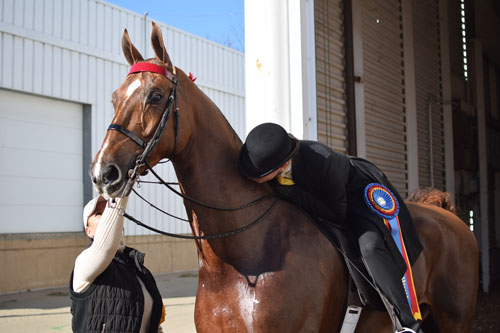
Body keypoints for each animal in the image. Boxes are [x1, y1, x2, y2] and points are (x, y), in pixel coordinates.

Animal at [92, 22, 478, 330]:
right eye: (114, 98)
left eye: (156, 96)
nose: (103, 172)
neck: (239, 260)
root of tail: (445, 212)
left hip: (454, 320)